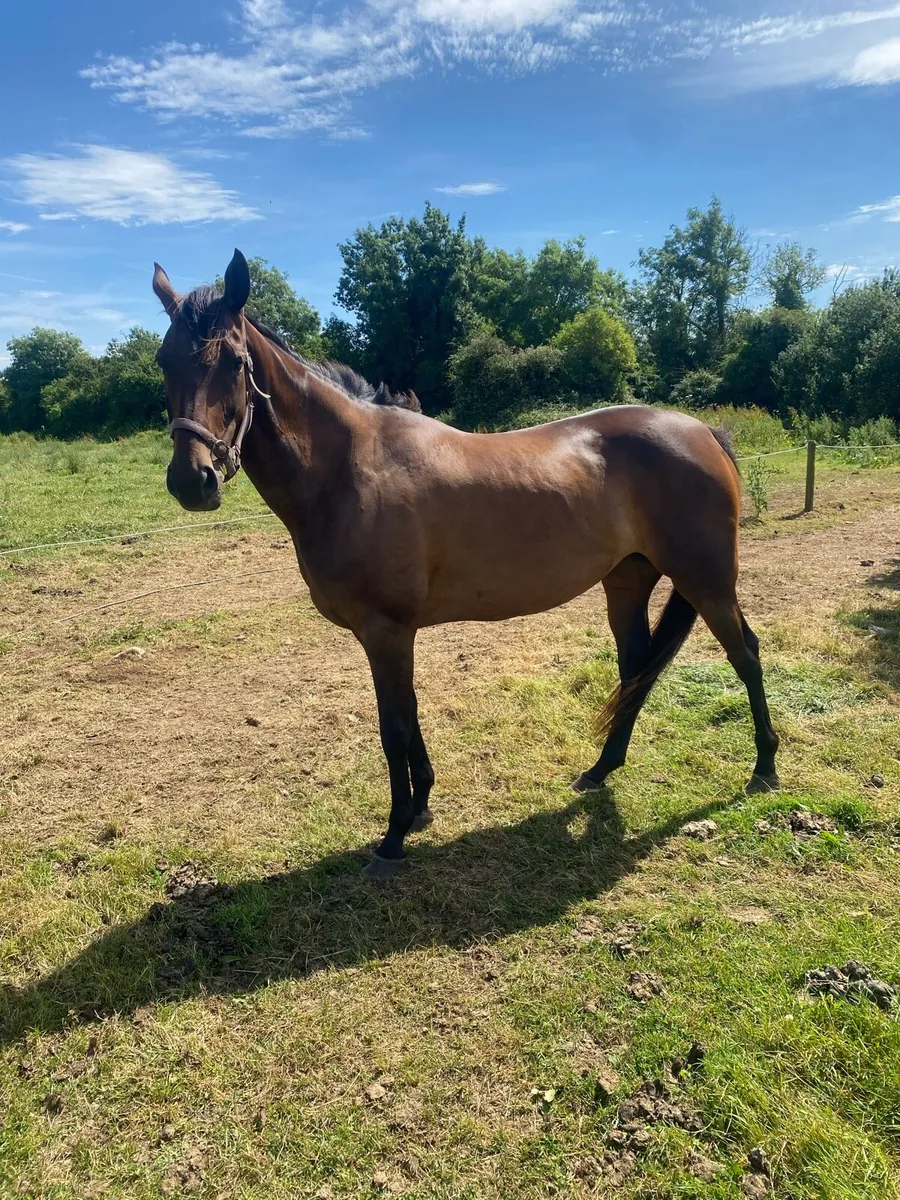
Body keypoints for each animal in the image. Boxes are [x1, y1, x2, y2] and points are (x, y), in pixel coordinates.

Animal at [154, 249, 779, 879]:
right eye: (164, 362)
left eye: (234, 362)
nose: (192, 480)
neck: (349, 468)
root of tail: (702, 431)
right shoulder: (385, 634)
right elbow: (408, 716)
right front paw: (422, 807)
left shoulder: (386, 629)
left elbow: (394, 728)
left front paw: (392, 839)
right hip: (627, 581)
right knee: (635, 670)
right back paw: (601, 769)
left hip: (707, 580)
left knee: (745, 654)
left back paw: (764, 769)